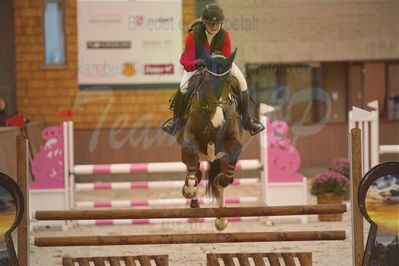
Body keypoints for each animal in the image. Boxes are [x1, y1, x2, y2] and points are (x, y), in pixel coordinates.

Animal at [176, 49, 244, 231]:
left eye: (228, 81)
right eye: (207, 81)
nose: (218, 121)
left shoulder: (230, 141)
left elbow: (226, 174)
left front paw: (221, 180)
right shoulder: (188, 138)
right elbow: (192, 155)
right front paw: (189, 189)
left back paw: (221, 219)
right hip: (185, 153)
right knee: (194, 169)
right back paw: (192, 196)